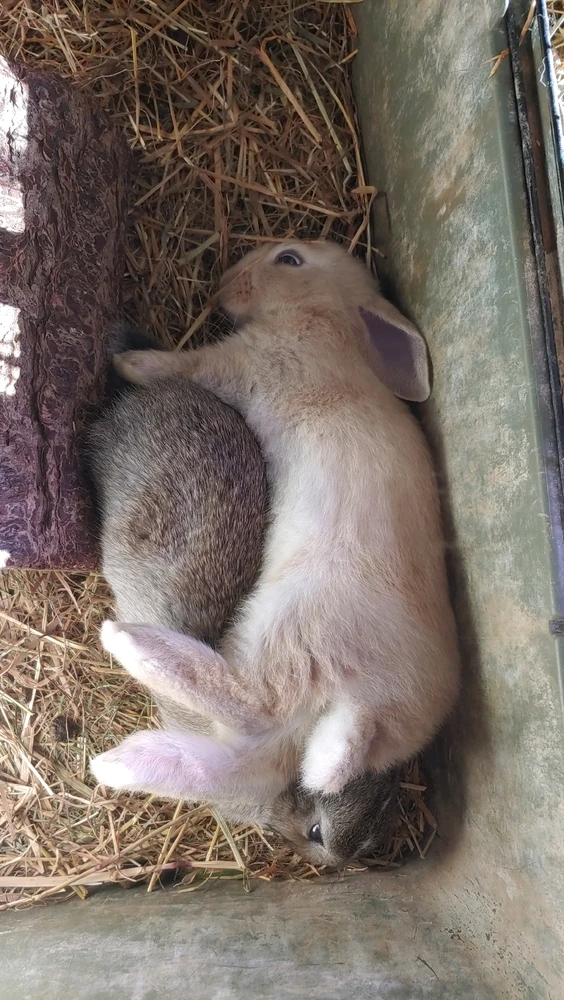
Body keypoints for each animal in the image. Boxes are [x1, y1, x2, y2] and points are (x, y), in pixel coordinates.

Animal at [92, 238, 460, 810]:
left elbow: (183, 364)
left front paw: (129, 361)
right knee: (246, 760)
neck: (328, 320)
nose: (225, 280)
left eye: (289, 259)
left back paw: (132, 645)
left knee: (256, 701)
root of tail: (372, 710)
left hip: (295, 626)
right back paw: (119, 765)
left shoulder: (241, 360)